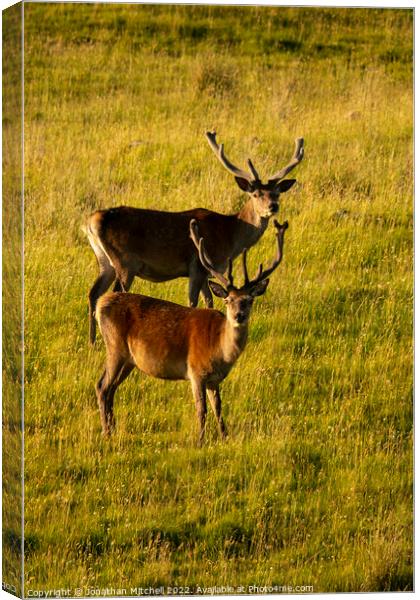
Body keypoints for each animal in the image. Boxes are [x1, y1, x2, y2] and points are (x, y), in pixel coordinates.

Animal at [86, 131, 302, 342]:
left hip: (105, 261)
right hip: (125, 262)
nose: (273, 207)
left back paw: (93, 342)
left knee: (93, 293)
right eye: (256, 194)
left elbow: (209, 300)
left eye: (277, 193)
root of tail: (93, 220)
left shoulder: (207, 272)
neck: (230, 236)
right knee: (113, 293)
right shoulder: (197, 265)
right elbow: (193, 302)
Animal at [95, 218, 288, 442]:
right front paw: (200, 440)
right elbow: (201, 409)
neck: (219, 349)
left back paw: (113, 429)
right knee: (102, 386)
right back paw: (106, 432)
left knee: (111, 389)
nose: (238, 316)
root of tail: (100, 304)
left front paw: (225, 437)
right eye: (228, 300)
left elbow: (218, 407)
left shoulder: (214, 379)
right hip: (115, 347)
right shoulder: (195, 371)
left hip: (129, 360)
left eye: (249, 300)